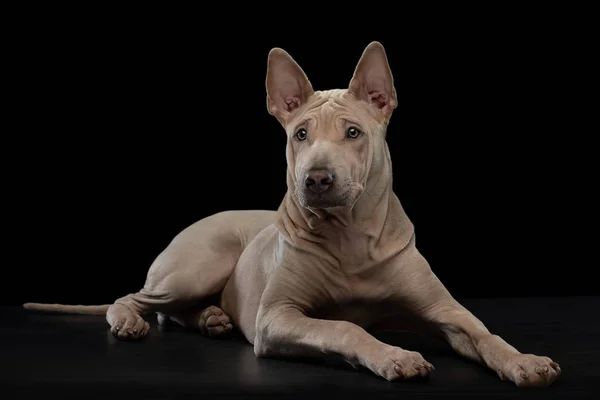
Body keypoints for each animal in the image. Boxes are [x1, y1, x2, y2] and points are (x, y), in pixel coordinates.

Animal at [22, 41, 556, 388]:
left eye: (353, 132)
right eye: (300, 134)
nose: (316, 179)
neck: (351, 239)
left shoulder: (445, 310)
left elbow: (485, 333)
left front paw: (525, 362)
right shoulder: (277, 317)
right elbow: (344, 327)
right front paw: (395, 356)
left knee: (170, 312)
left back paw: (211, 318)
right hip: (197, 265)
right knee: (135, 299)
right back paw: (131, 321)